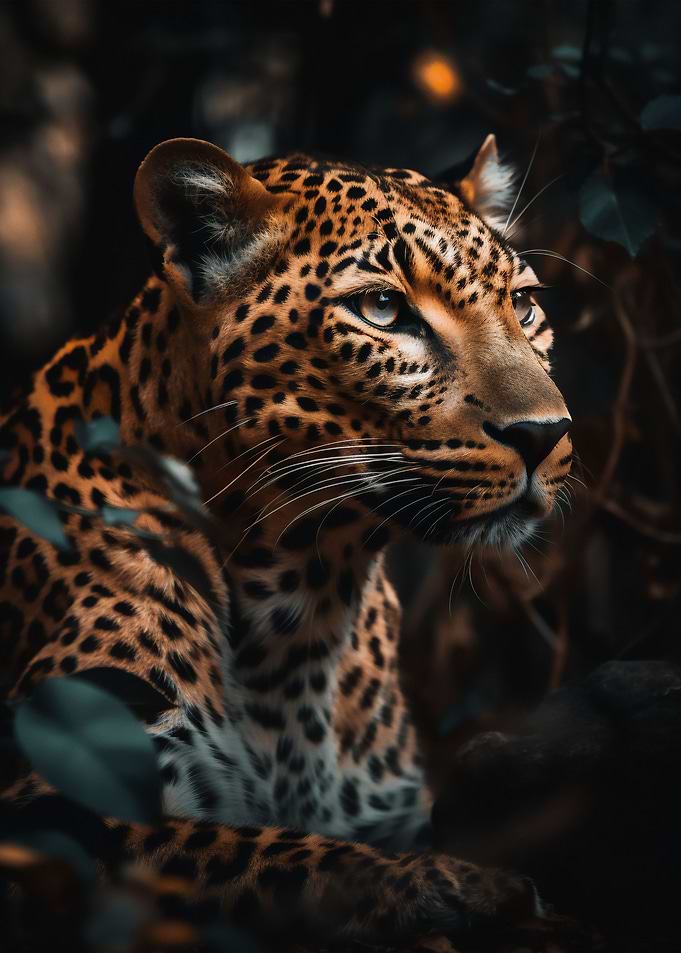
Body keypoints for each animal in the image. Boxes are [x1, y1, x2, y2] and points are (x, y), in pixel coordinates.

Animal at [0, 135, 572, 946]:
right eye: (383, 309)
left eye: (522, 304)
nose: (545, 435)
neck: (304, 597)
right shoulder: (60, 804)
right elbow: (280, 855)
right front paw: (467, 888)